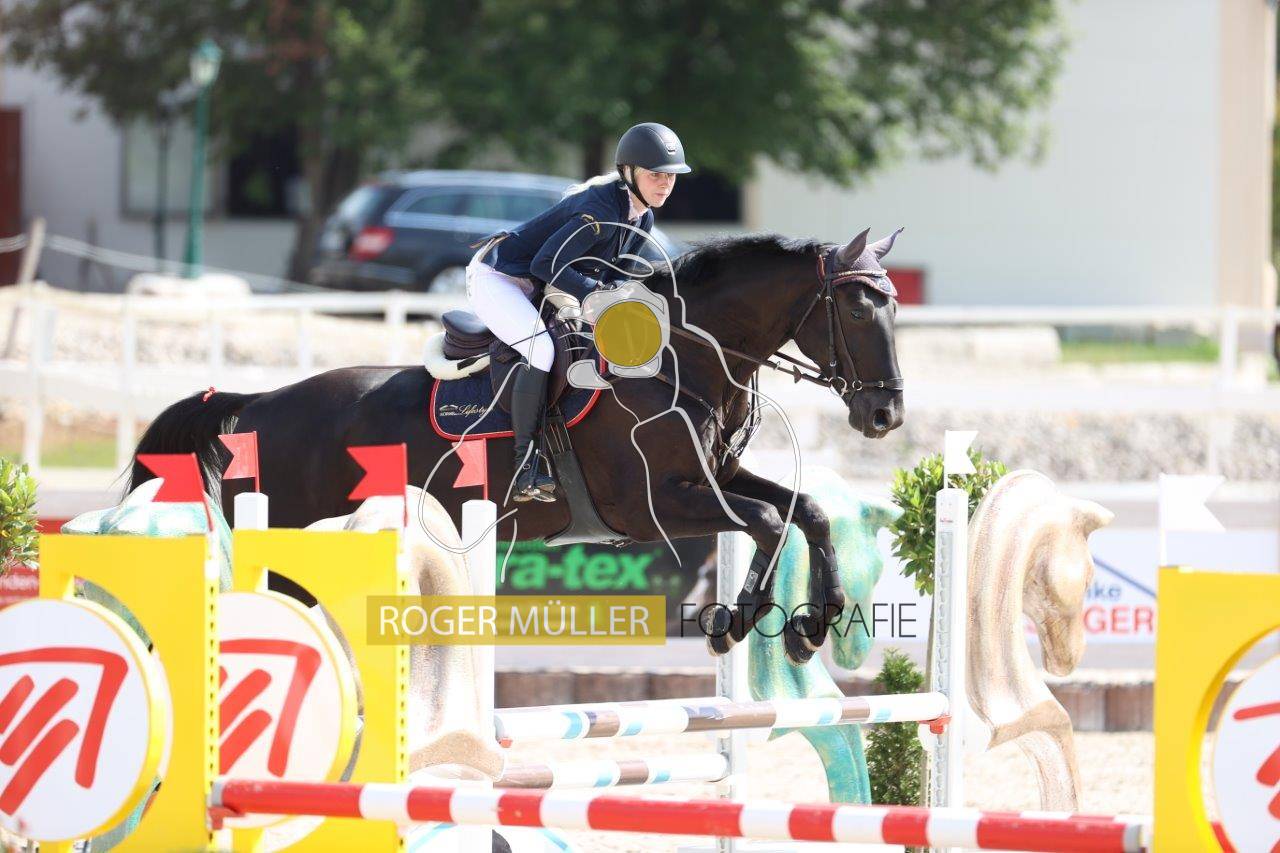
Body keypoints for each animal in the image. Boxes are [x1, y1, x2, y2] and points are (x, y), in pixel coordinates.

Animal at [127, 228, 905, 664]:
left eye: (894, 306)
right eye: (856, 307)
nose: (885, 413)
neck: (682, 358)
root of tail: (259, 404)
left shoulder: (716, 477)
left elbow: (808, 512)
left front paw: (811, 628)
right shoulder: (650, 506)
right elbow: (771, 521)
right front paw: (730, 625)